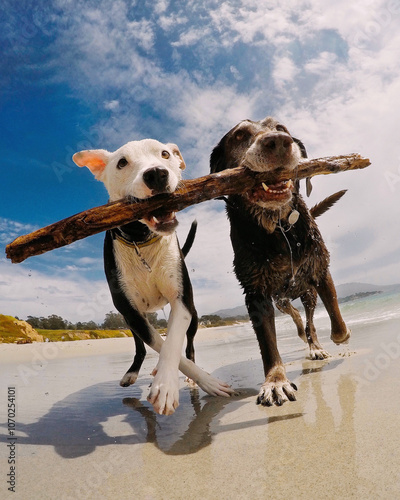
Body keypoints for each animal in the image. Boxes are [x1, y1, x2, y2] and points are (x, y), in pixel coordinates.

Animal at [73, 138, 233, 414]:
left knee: (188, 344)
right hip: (132, 318)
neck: (141, 239)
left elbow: (172, 343)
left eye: (165, 154)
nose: (157, 173)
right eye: (122, 162)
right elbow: (157, 341)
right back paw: (133, 372)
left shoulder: (182, 302)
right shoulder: (128, 310)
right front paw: (171, 383)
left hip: (194, 317)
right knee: (142, 344)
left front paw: (174, 383)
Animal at [209, 116, 350, 406]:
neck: (278, 229)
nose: (278, 142)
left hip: (307, 294)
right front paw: (275, 382)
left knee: (309, 320)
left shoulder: (320, 269)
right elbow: (268, 343)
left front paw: (336, 337)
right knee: (294, 314)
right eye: (239, 136)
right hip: (282, 299)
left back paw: (315, 346)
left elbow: (336, 320)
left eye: (282, 128)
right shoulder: (256, 293)